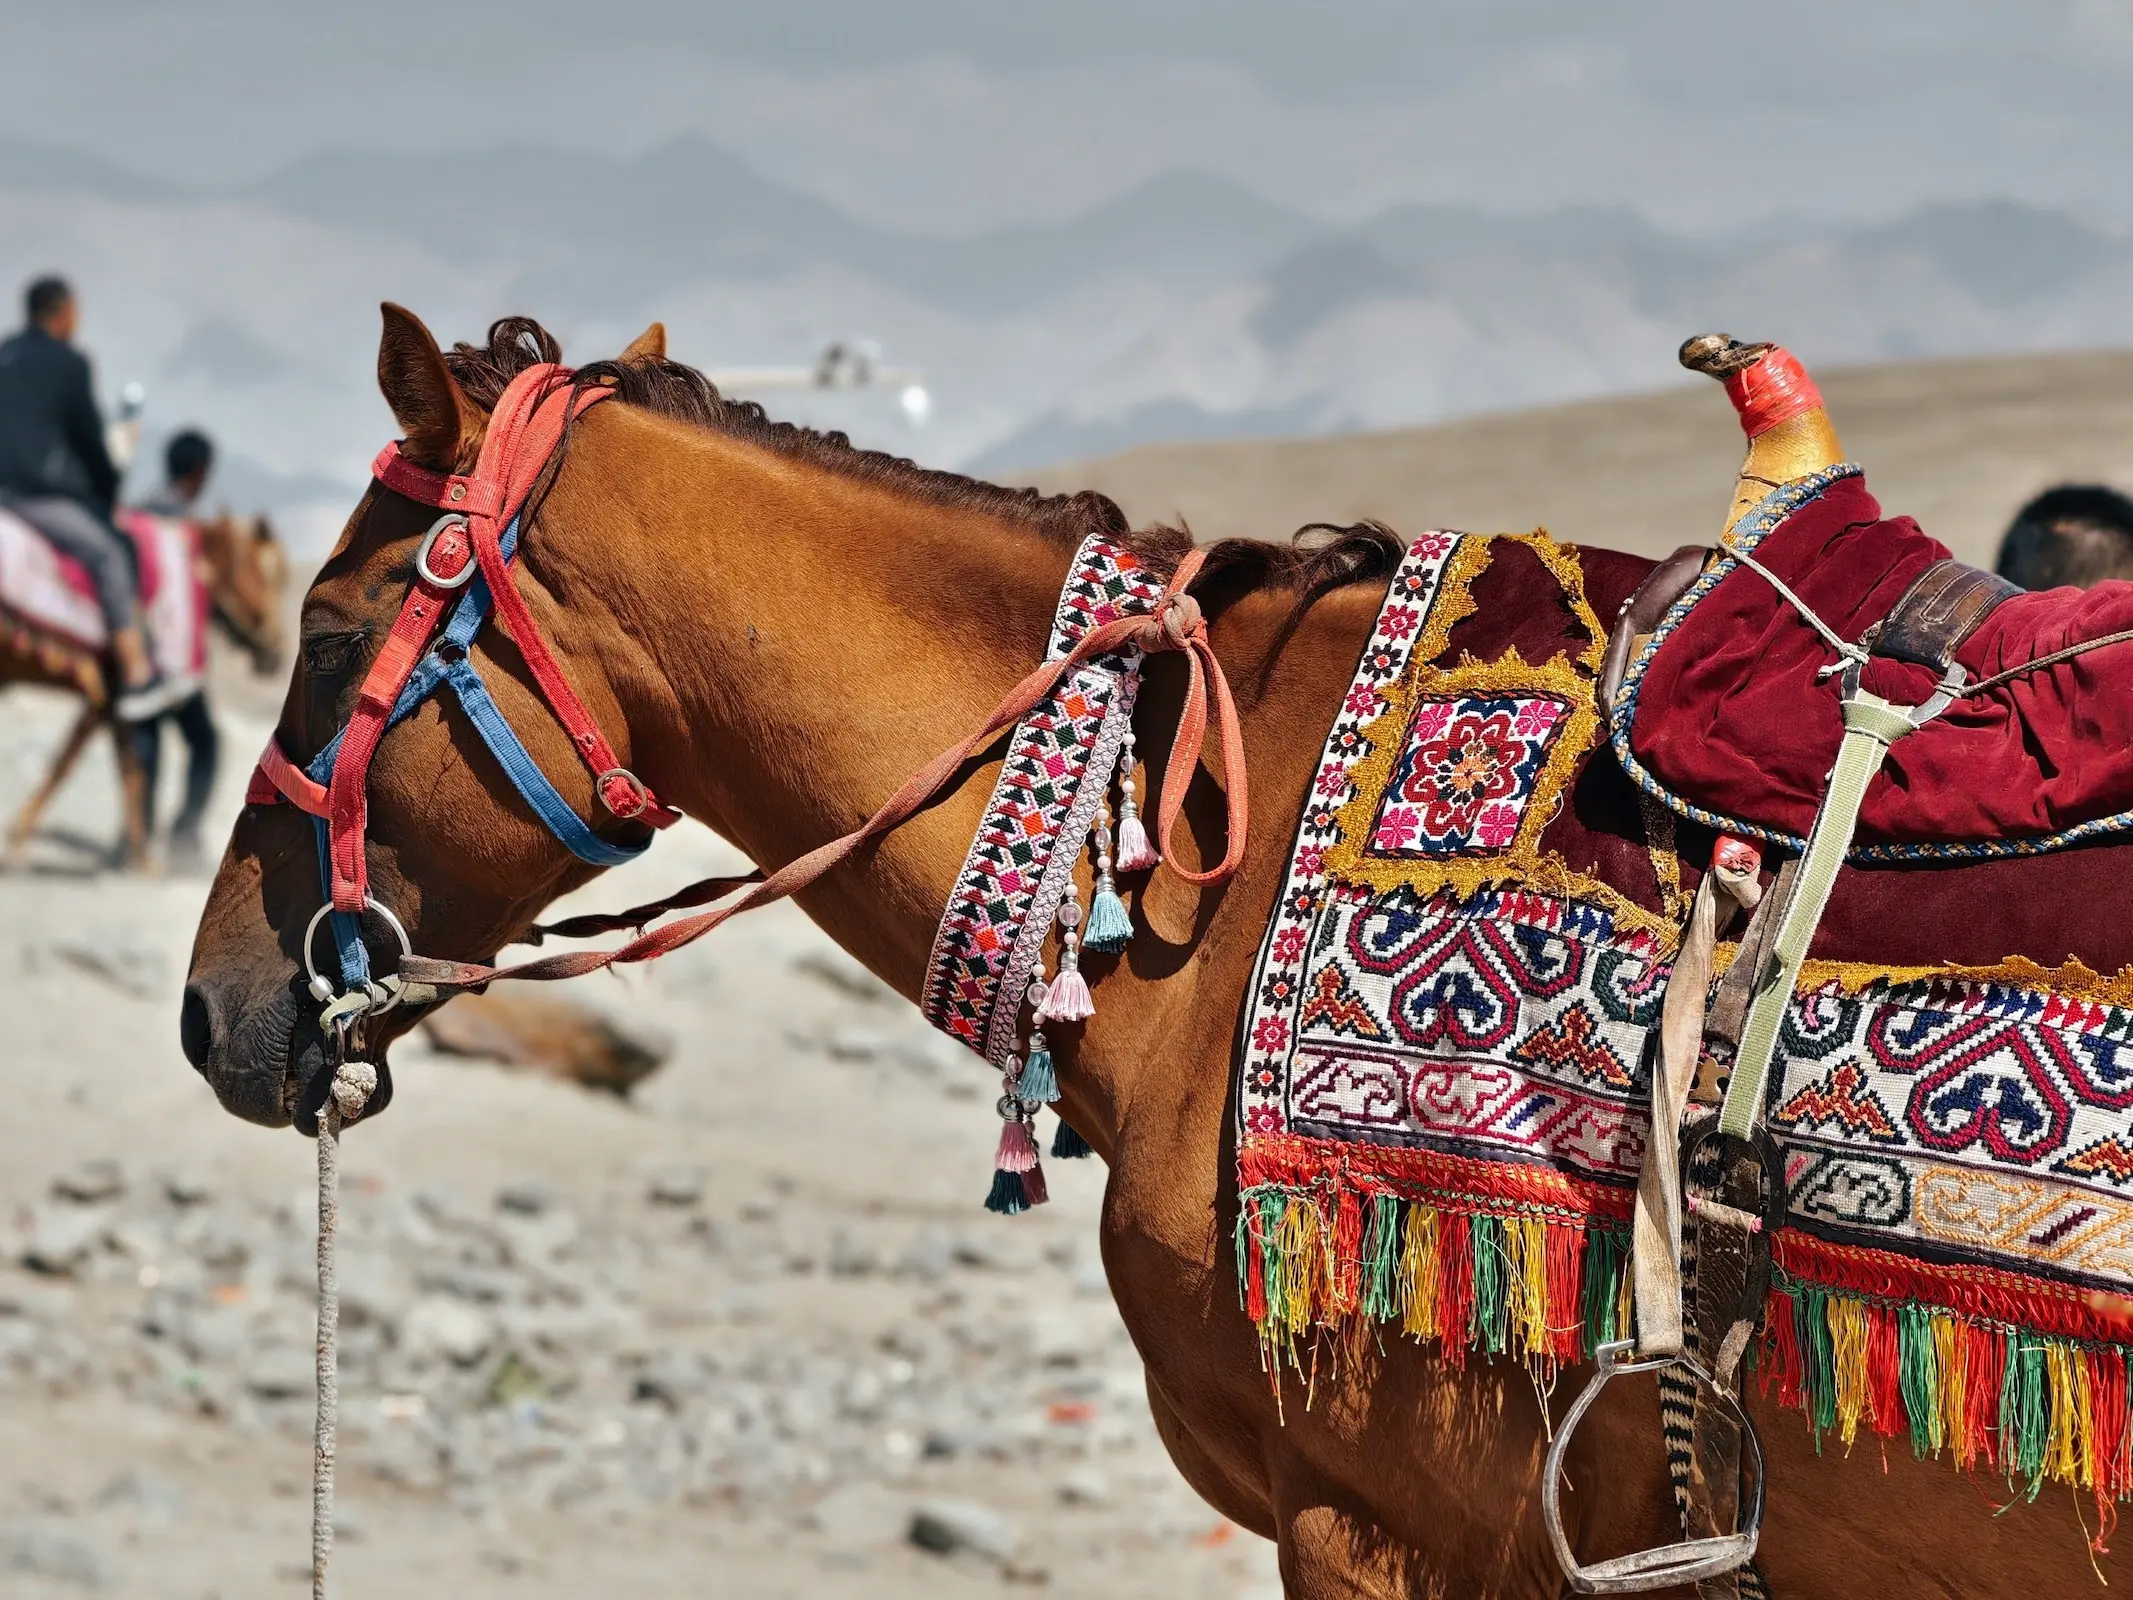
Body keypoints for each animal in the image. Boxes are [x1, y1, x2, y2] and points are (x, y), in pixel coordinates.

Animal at [5, 509, 287, 870]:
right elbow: (84, 766)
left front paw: (135, 859)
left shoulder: (112, 702)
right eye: (268, 576)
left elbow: (123, 769)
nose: (275, 654)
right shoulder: (111, 695)